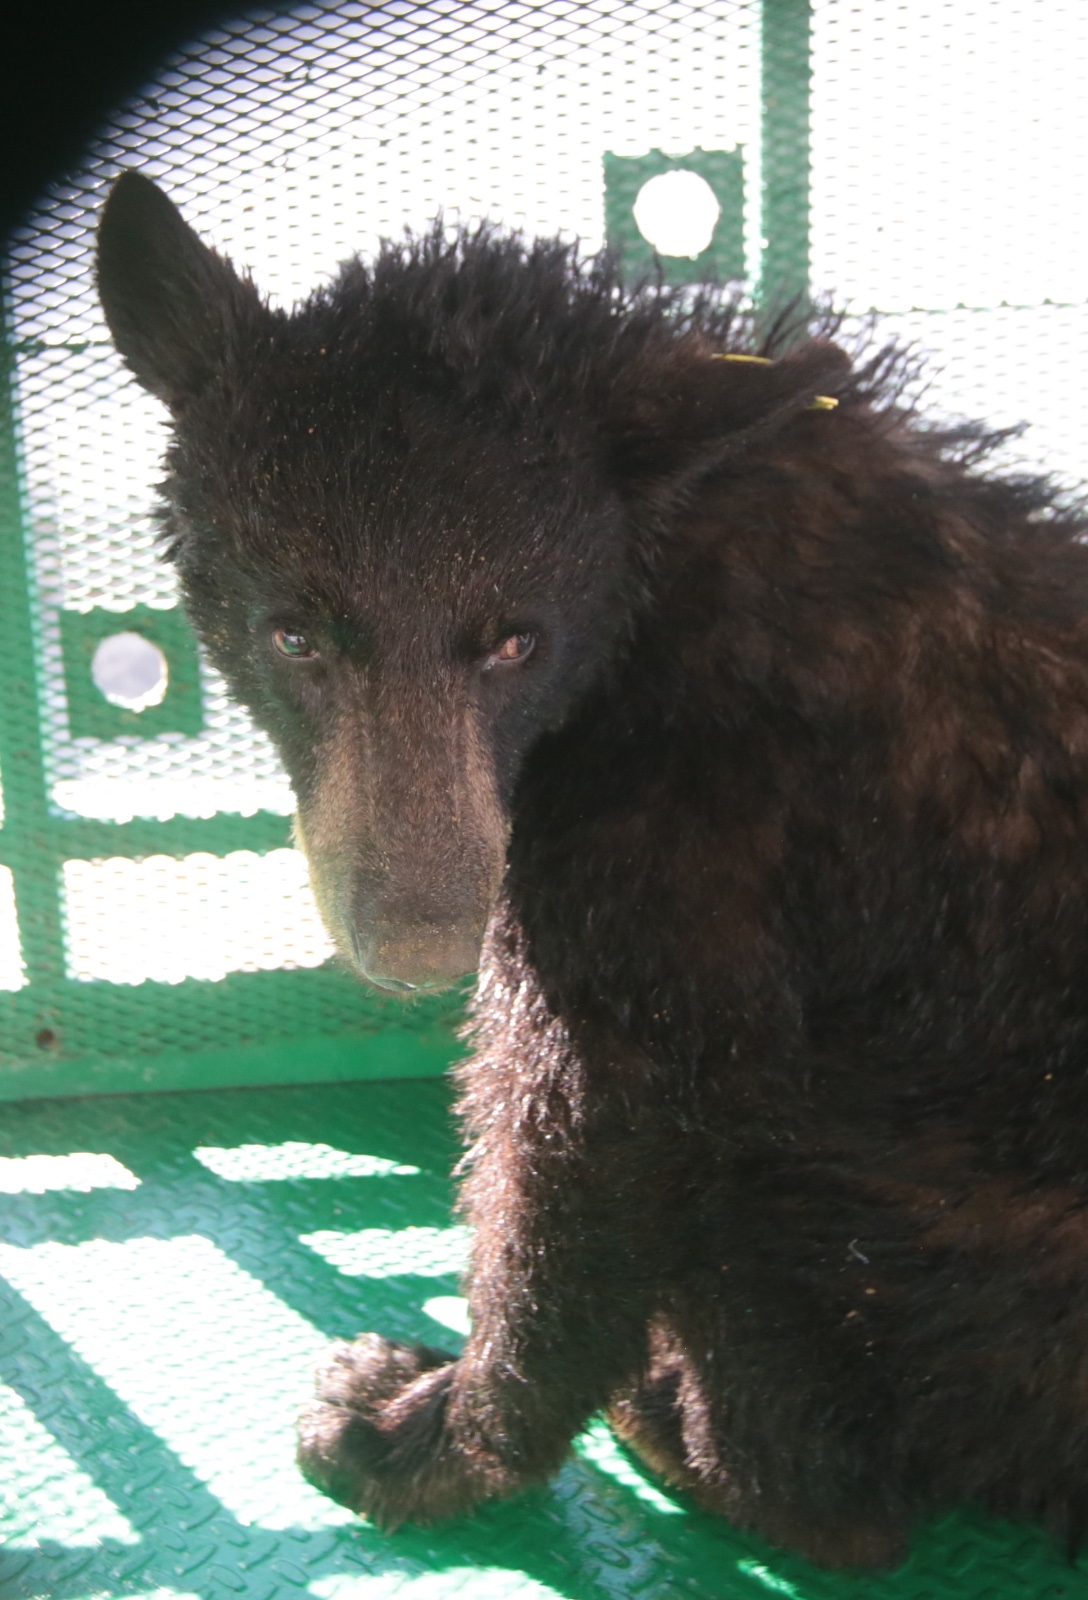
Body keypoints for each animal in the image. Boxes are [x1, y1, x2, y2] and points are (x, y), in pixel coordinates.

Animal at [96, 170, 1088, 1571]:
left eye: (515, 640)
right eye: (294, 633)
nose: (418, 947)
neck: (662, 587)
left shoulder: (675, 847)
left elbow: (586, 1141)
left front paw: (425, 1437)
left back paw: (682, 1427)